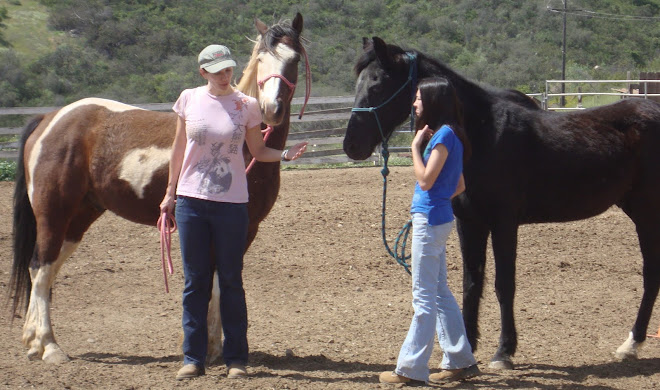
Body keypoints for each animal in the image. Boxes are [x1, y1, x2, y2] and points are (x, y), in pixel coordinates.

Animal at [9, 12, 310, 366]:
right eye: (261, 58)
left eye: (293, 60)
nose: (270, 110)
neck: (247, 148)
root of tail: (49, 119)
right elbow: (213, 281)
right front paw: (209, 348)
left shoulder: (245, 228)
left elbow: (219, 281)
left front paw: (215, 348)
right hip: (53, 214)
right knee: (40, 268)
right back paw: (49, 346)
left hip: (79, 218)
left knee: (48, 269)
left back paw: (33, 341)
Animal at [342, 38, 660, 370]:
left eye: (378, 84)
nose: (351, 145)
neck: (482, 135)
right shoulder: (469, 223)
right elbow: (472, 283)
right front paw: (466, 349)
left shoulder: (504, 223)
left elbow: (503, 284)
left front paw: (504, 351)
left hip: (648, 213)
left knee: (651, 273)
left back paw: (631, 344)